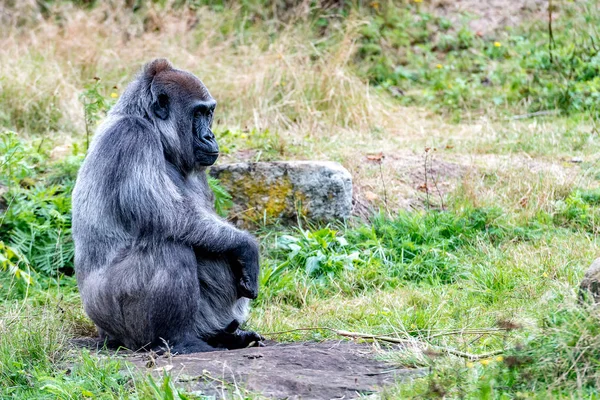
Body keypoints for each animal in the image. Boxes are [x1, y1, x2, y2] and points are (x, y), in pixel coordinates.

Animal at [72, 57, 262, 354]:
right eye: (197, 114)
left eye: (209, 113)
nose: (210, 136)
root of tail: (104, 336)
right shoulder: (133, 137)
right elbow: (169, 216)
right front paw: (246, 247)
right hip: (114, 324)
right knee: (170, 246)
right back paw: (178, 339)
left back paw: (222, 335)